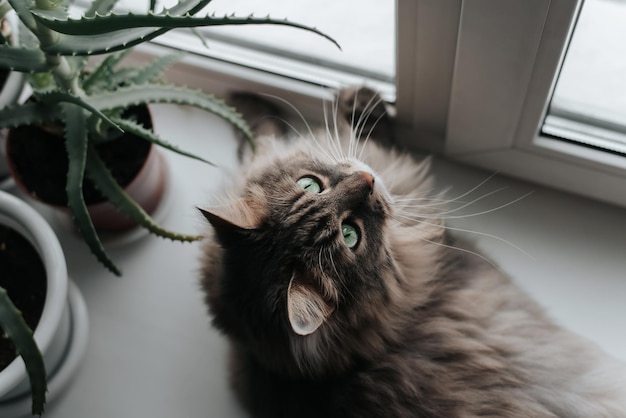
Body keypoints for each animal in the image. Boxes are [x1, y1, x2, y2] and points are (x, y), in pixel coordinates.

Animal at [199, 86, 624, 416]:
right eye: (350, 236)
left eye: (310, 184)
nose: (367, 180)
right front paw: (361, 102)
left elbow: (259, 135)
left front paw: (243, 101)